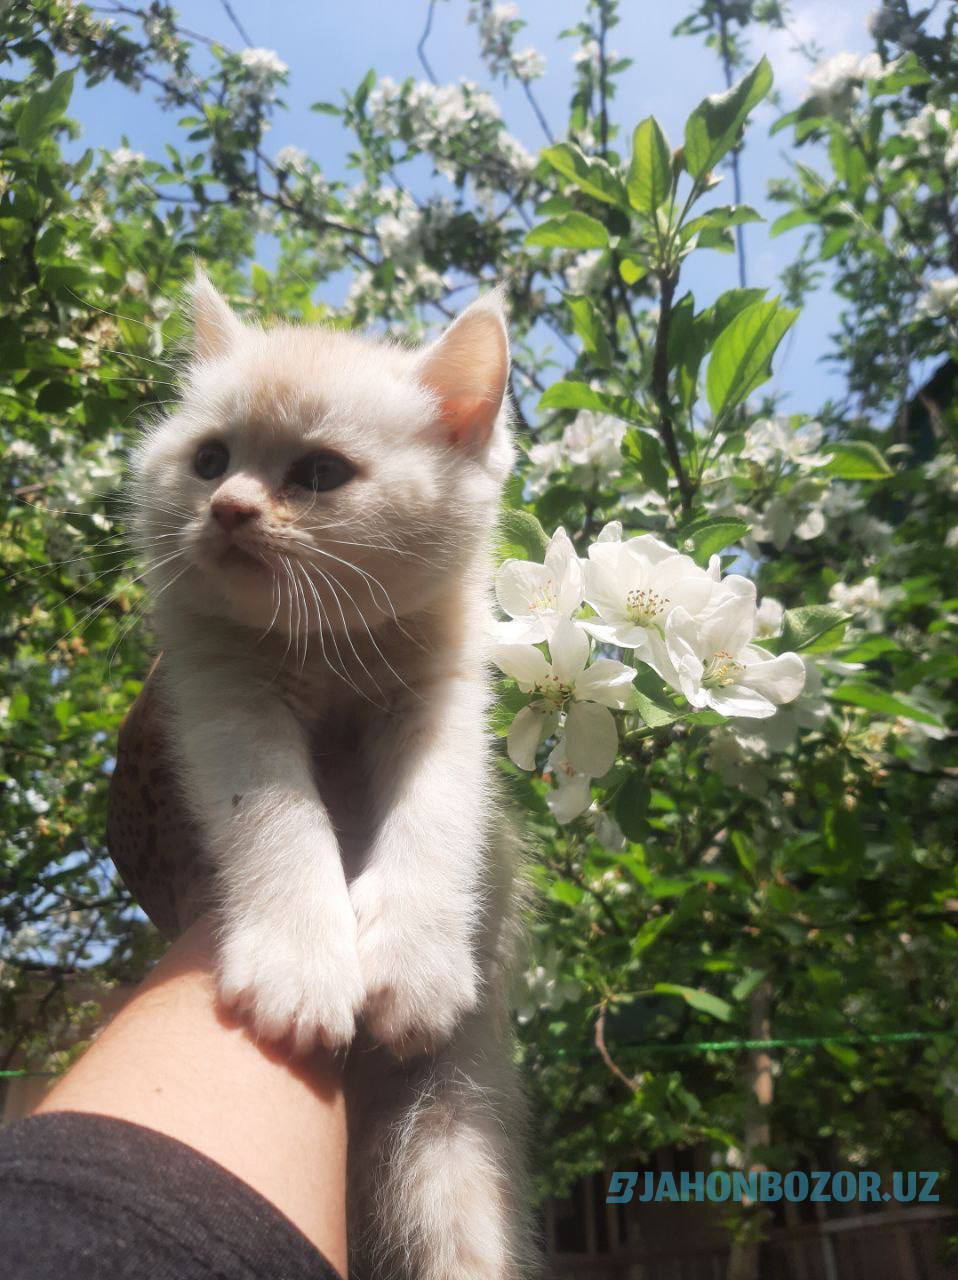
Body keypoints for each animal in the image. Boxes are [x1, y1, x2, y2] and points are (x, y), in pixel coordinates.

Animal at [131, 275, 535, 1280]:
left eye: (320, 474)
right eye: (208, 459)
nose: (230, 508)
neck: (321, 647)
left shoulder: (445, 701)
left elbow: (437, 817)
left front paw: (416, 963)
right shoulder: (222, 696)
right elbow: (275, 817)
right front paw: (300, 965)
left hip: (453, 1113)